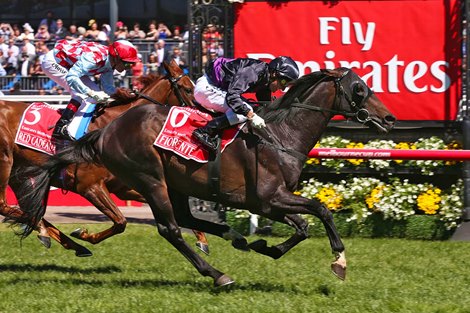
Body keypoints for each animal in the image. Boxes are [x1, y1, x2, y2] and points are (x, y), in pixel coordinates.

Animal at [0, 59, 208, 255]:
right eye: (188, 89)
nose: (204, 118)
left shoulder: (123, 188)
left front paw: (202, 239)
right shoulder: (89, 186)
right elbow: (121, 222)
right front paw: (83, 234)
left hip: (20, 175)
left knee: (29, 211)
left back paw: (60, 240)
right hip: (6, 161)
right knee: (6, 206)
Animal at [16, 67, 394, 286]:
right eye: (359, 89)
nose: (389, 118)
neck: (281, 135)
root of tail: (104, 131)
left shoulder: (270, 203)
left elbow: (303, 225)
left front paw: (266, 246)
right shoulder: (270, 197)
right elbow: (322, 210)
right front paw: (339, 260)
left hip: (175, 183)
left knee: (185, 219)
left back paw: (232, 237)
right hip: (150, 178)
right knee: (170, 228)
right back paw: (216, 274)